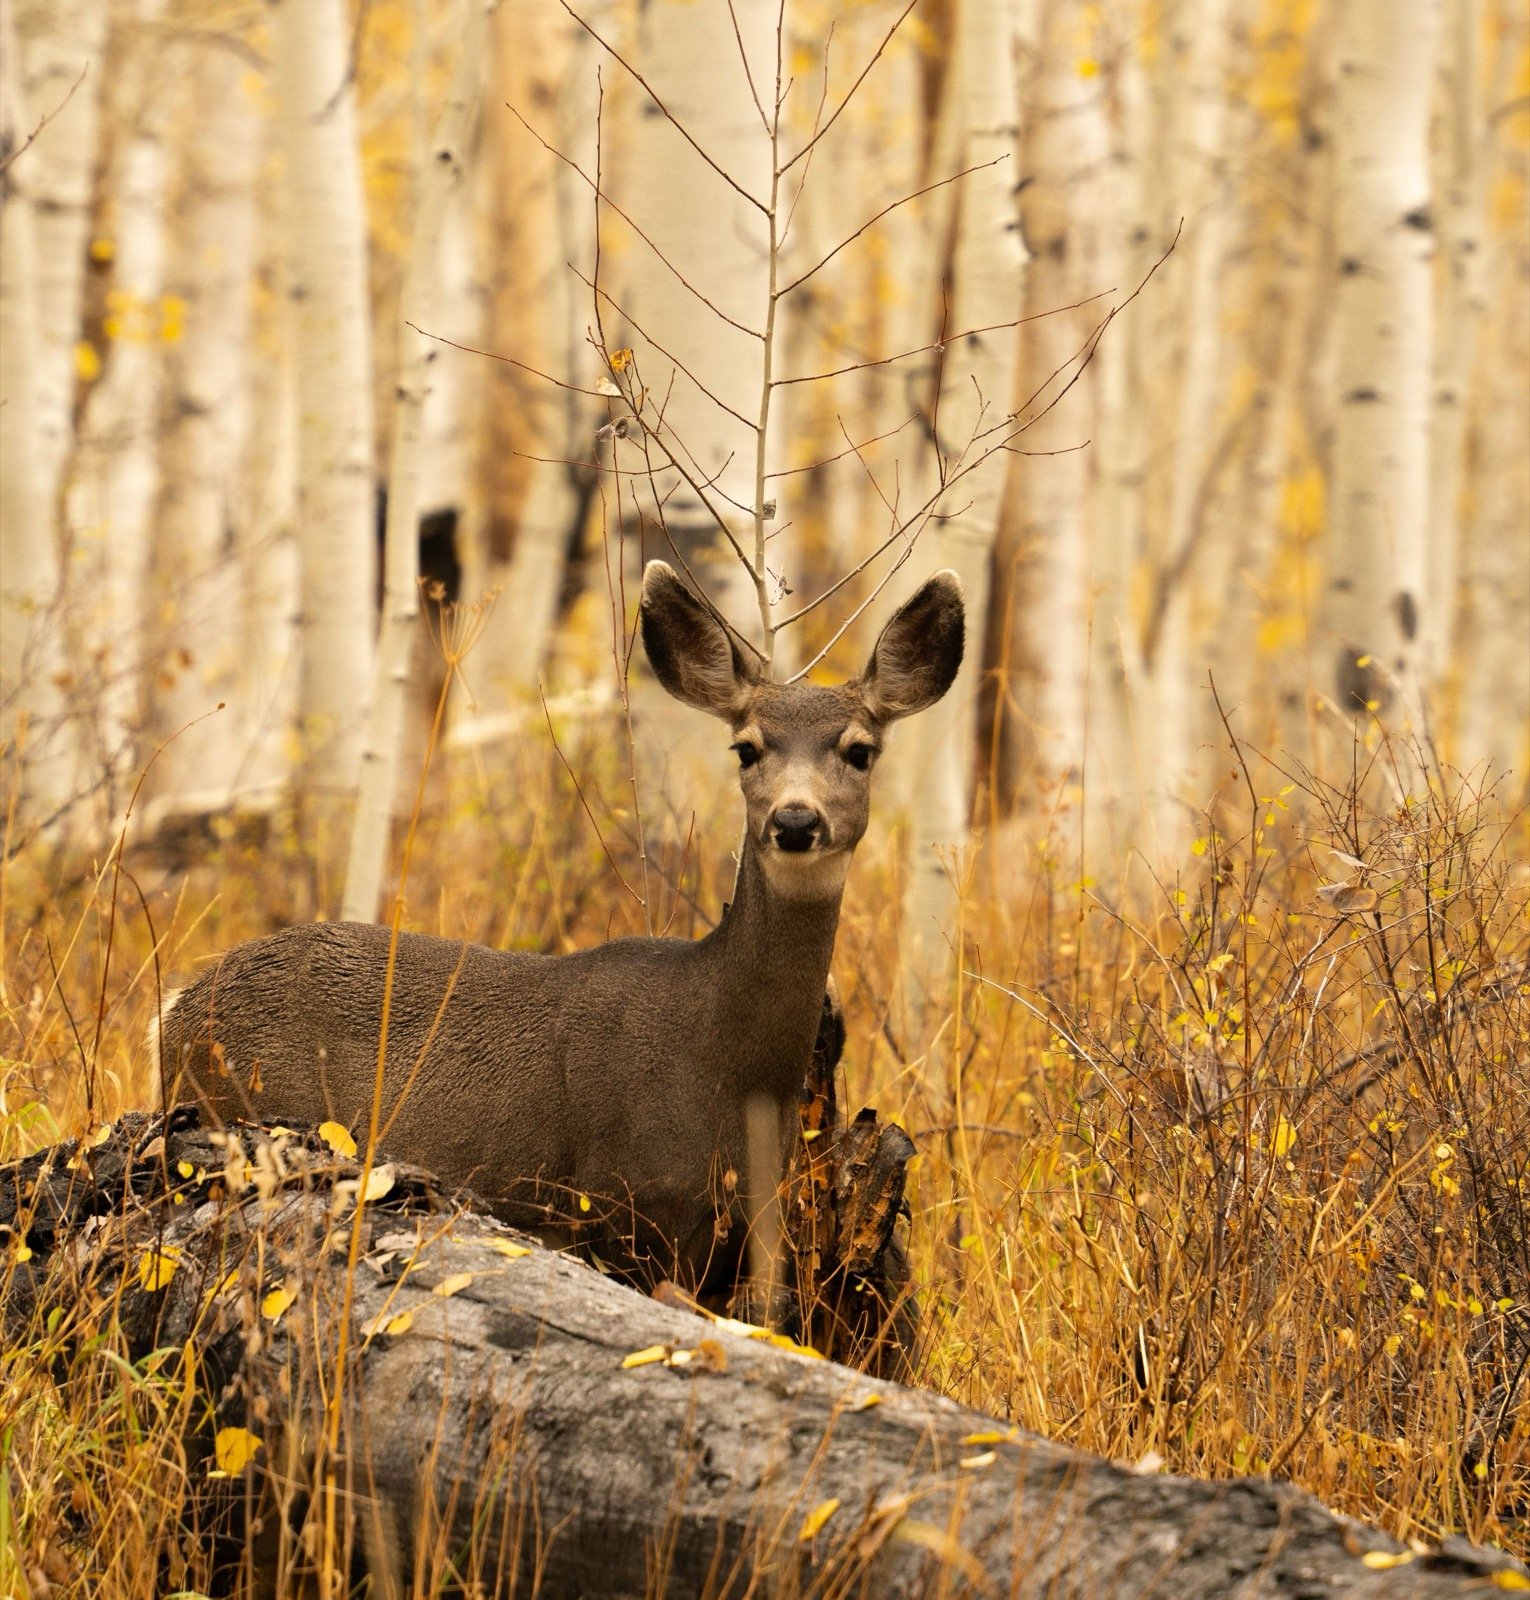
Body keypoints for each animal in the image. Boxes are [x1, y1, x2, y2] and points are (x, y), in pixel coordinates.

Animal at [156, 560, 964, 1298]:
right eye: (746, 747)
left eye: (860, 750)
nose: (796, 821)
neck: (728, 1064)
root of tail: (174, 1010)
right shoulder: (630, 1207)